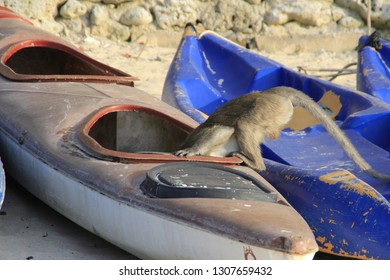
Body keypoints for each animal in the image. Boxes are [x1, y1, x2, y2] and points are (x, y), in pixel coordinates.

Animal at [175, 86, 390, 182]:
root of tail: (271, 92)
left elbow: (223, 130)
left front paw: (192, 151)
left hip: (270, 108)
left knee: (243, 125)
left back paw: (257, 164)